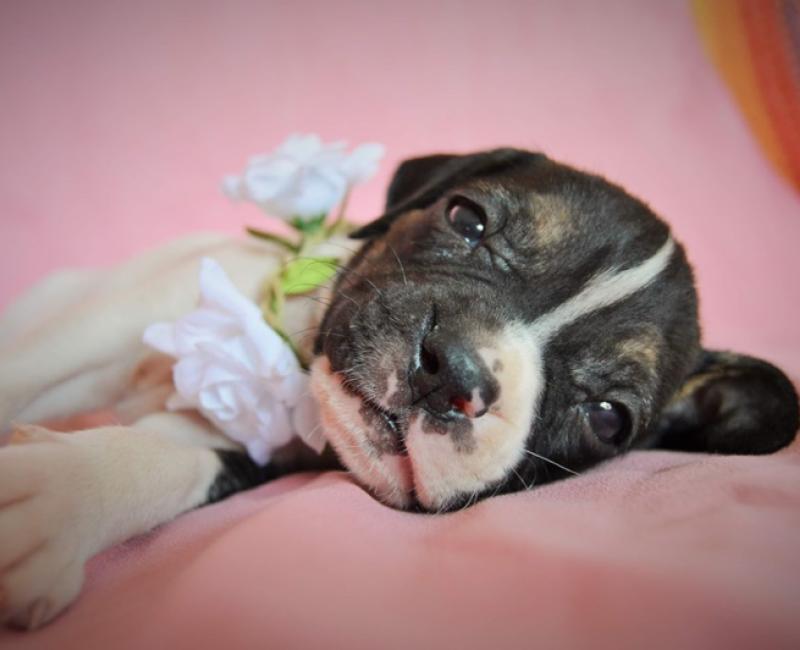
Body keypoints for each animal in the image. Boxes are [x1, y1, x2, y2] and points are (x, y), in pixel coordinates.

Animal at [0, 148, 797, 629]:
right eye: (466, 217)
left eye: (607, 419)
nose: (455, 370)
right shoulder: (97, 323)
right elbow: (35, 360)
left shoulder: (247, 447)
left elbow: (172, 461)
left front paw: (58, 499)